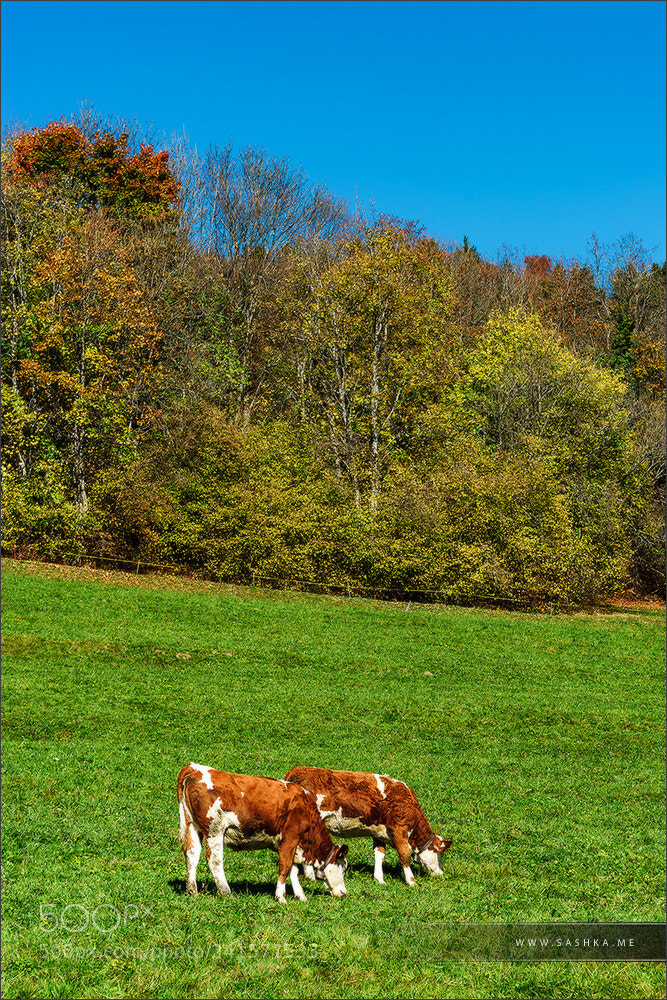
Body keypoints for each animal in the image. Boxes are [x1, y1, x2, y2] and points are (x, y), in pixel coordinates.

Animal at [177, 763, 349, 903]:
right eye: (343, 868)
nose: (344, 893)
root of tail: (195, 769)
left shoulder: (291, 843)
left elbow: (293, 869)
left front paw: (300, 895)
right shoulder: (290, 837)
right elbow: (285, 867)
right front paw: (281, 897)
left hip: (193, 826)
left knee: (192, 854)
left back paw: (192, 890)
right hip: (214, 830)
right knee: (214, 860)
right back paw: (226, 892)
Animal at [285, 766, 452, 887]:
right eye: (440, 854)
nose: (440, 873)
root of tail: (298, 769)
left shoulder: (380, 833)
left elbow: (379, 855)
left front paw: (379, 879)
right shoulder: (399, 829)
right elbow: (405, 855)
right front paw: (411, 882)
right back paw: (310, 876)